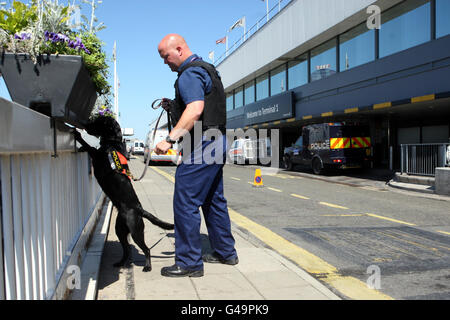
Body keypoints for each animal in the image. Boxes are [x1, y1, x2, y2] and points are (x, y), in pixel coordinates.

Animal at [74, 116, 174, 272]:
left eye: (98, 121)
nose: (85, 124)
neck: (112, 143)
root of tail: (139, 209)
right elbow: (90, 147)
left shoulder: (98, 156)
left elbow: (91, 147)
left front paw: (78, 136)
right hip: (120, 230)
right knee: (126, 249)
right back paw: (120, 263)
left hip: (136, 231)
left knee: (146, 249)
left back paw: (147, 266)